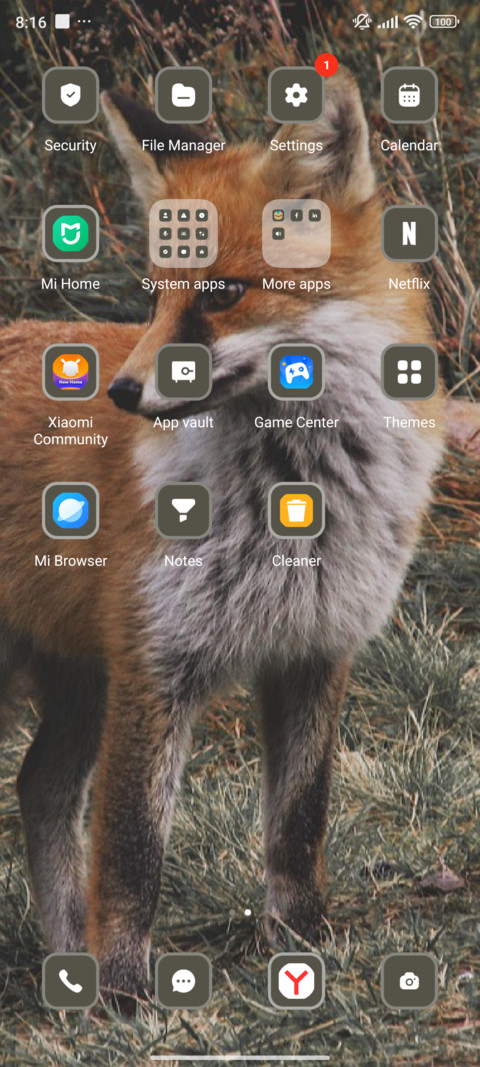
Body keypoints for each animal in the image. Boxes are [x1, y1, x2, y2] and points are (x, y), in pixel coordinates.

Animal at [0, 70, 444, 1000]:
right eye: (155, 294)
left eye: (220, 294)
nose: (125, 392)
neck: (293, 497)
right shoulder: (154, 661)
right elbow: (131, 850)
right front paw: (126, 994)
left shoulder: (316, 647)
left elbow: (298, 822)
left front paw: (302, 944)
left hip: (78, 679)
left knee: (41, 788)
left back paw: (64, 960)